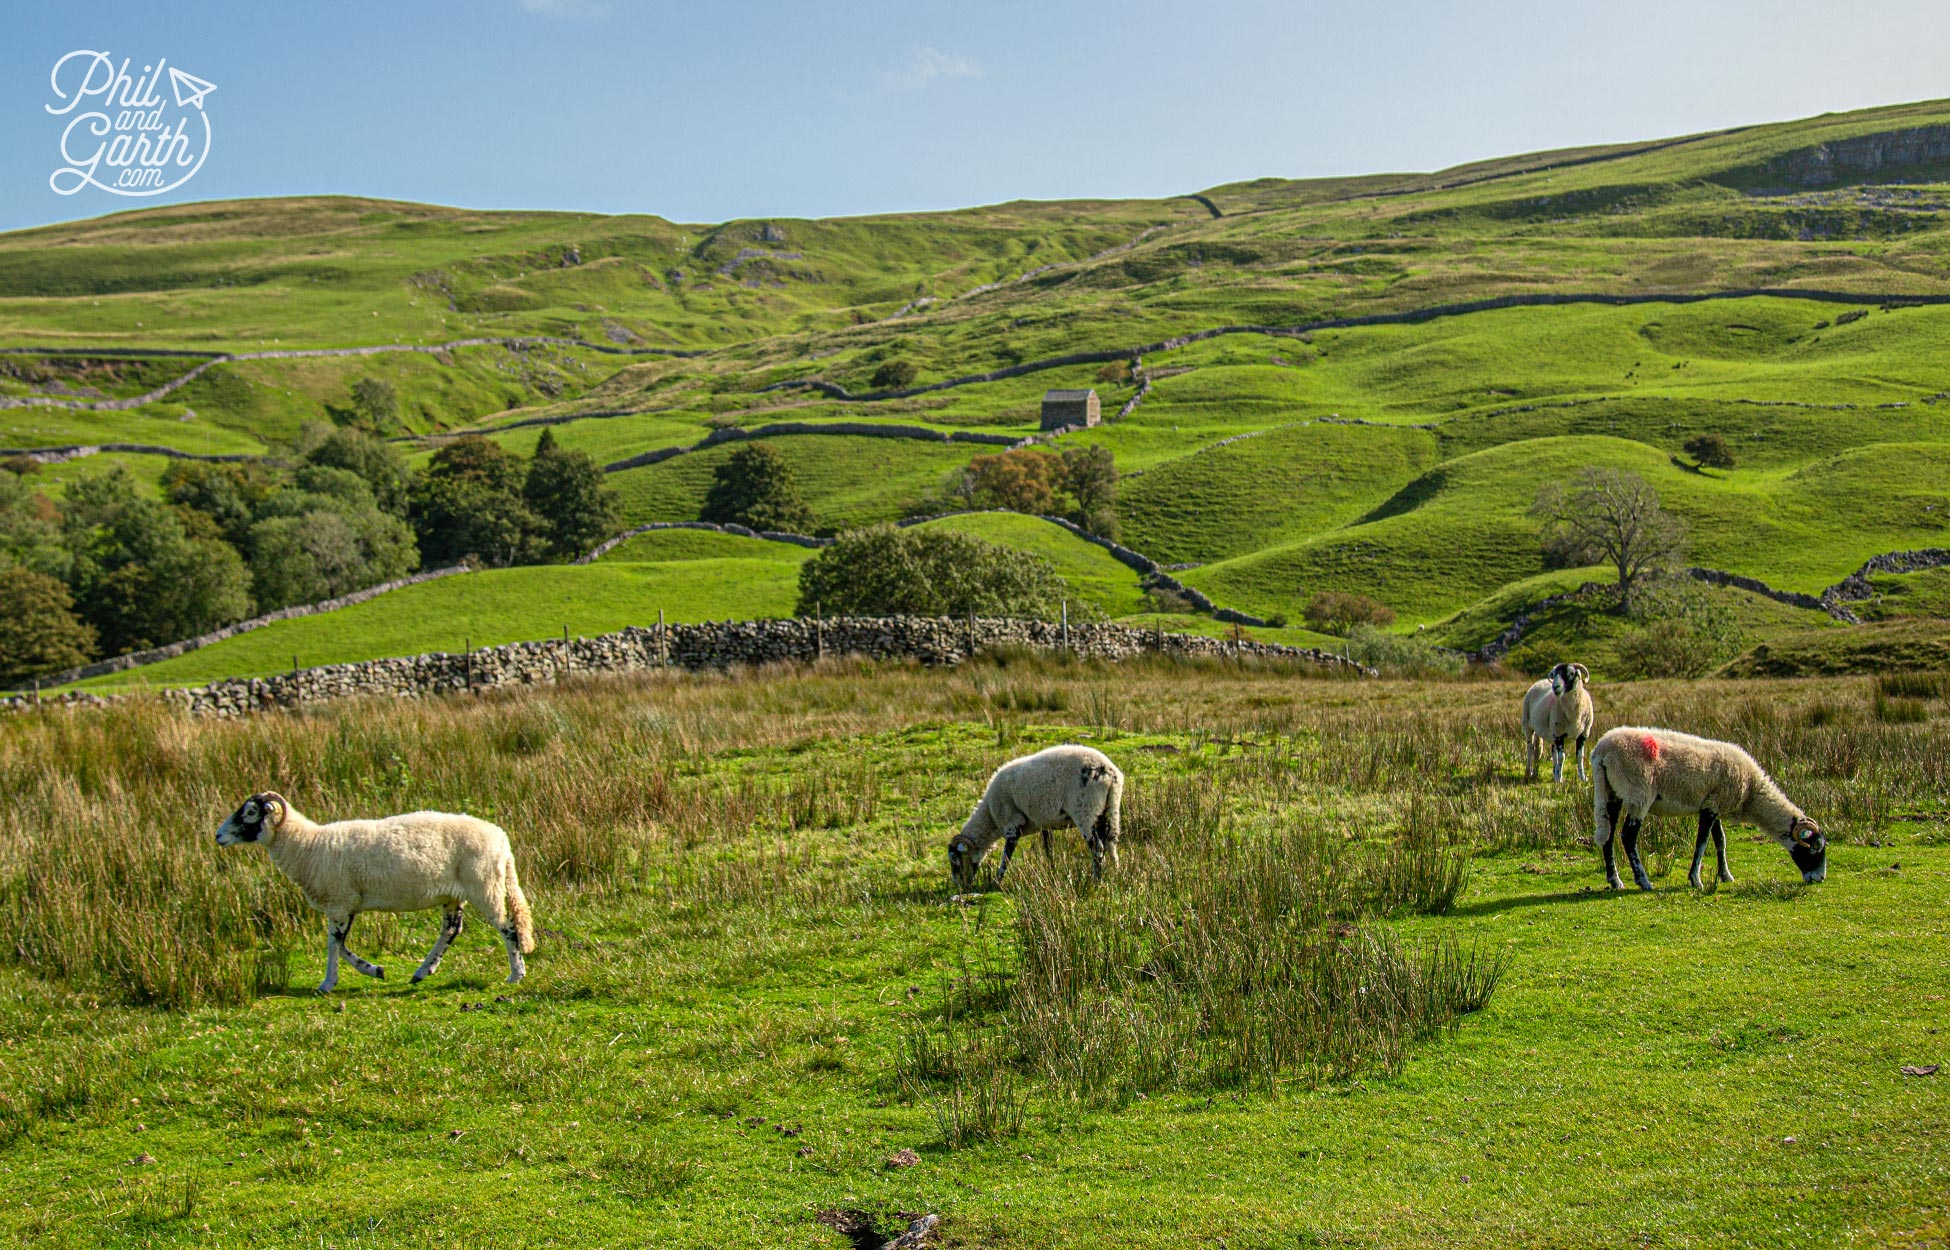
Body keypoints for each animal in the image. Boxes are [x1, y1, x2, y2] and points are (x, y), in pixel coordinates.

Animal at [213, 795, 538, 990]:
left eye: (250, 812)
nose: (217, 836)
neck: (307, 846)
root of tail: (502, 840)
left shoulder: (339, 901)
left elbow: (333, 945)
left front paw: (327, 984)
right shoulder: (347, 904)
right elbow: (341, 945)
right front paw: (374, 969)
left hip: (485, 885)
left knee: (508, 928)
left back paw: (516, 975)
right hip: (454, 895)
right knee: (451, 930)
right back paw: (423, 971)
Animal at [947, 741, 1131, 889]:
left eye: (955, 859)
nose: (959, 886)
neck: (991, 817)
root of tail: (1109, 772)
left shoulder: (1012, 824)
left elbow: (1006, 856)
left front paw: (997, 882)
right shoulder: (1045, 823)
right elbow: (1049, 850)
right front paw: (1052, 872)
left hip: (1086, 810)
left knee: (1097, 847)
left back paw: (1095, 881)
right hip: (1109, 808)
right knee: (1110, 842)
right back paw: (1116, 873)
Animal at [1591, 725, 1817, 893]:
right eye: (1816, 847)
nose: (1819, 878)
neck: (1751, 792)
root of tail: (1601, 751)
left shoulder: (1713, 804)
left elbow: (1720, 841)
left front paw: (1725, 875)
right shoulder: (1711, 807)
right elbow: (1702, 842)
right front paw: (1695, 880)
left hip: (1611, 793)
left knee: (1608, 835)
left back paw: (1615, 880)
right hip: (1638, 794)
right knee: (1628, 837)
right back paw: (1644, 881)